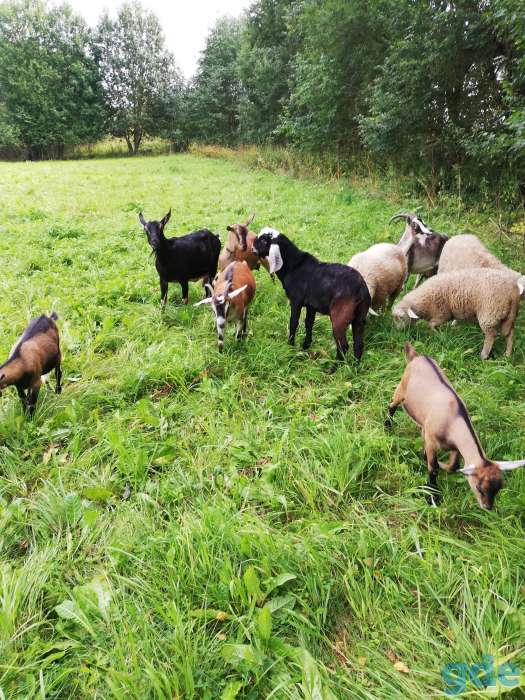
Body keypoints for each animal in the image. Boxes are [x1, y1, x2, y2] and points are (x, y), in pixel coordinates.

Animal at [252, 228, 370, 367]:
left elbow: (293, 323)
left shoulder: (296, 301)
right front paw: (305, 347)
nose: (252, 247)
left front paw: (290, 347)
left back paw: (333, 369)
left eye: (264, 241)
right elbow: (309, 324)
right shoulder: (311, 306)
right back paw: (355, 368)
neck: (294, 266)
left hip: (340, 316)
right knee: (359, 344)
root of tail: (360, 288)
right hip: (360, 316)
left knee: (343, 345)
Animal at [385, 342, 525, 509]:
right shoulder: (432, 440)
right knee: (392, 405)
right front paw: (433, 497)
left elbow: (452, 466)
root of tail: (417, 356)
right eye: (479, 487)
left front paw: (442, 465)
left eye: (499, 488)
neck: (454, 418)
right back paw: (387, 426)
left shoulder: (454, 446)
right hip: (402, 387)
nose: (487, 507)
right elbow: (433, 468)